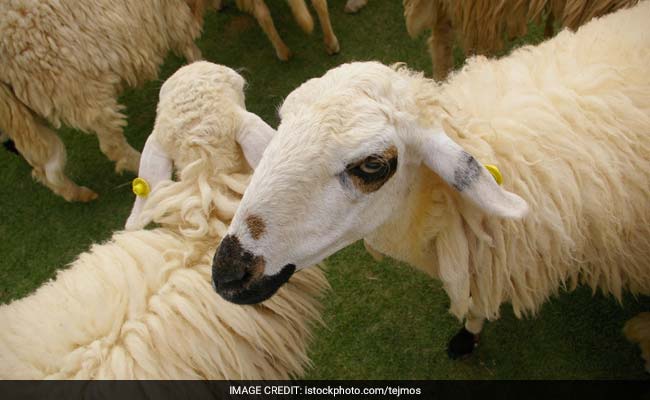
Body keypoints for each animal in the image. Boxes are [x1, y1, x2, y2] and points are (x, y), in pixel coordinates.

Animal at [0, 0, 211, 202]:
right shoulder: (172, 14)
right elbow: (186, 40)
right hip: (81, 92)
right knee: (112, 148)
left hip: (26, 114)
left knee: (44, 168)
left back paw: (78, 194)